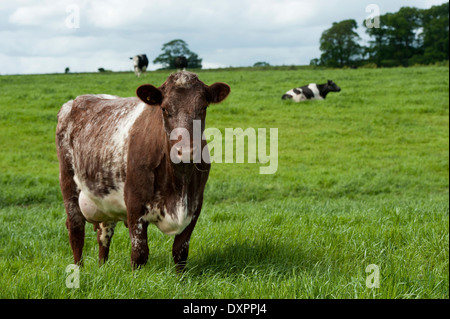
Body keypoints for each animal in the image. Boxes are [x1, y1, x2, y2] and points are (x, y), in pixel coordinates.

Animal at [55, 71, 230, 272]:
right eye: (164, 109)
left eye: (203, 107)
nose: (186, 151)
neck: (179, 183)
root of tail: (74, 101)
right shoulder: (134, 203)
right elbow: (139, 253)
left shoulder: (195, 204)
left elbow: (180, 251)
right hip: (68, 183)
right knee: (76, 232)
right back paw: (78, 270)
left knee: (104, 235)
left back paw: (102, 268)